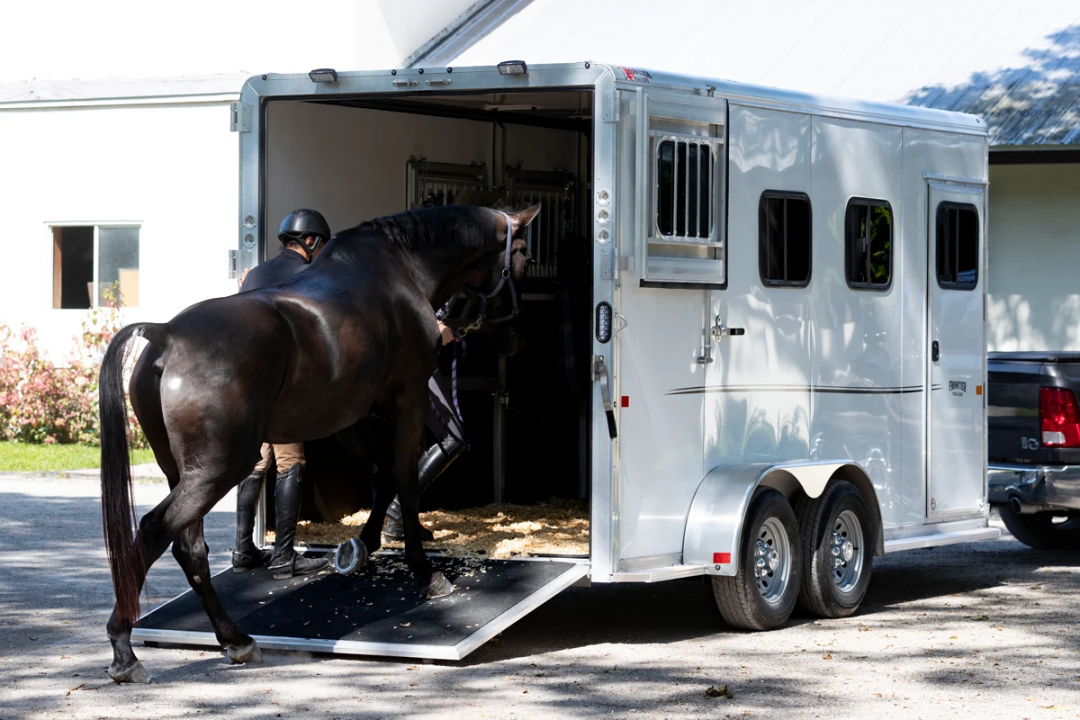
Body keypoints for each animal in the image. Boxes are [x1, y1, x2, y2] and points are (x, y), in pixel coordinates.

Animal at [98, 204, 539, 683]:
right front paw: (425, 573)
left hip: (182, 472)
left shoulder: (354, 419)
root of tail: (166, 334)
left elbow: (382, 480)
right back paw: (125, 650)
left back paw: (236, 640)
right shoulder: (408, 404)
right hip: (214, 471)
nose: (514, 341)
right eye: (526, 258)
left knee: (189, 549)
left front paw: (363, 545)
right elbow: (404, 482)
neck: (401, 271)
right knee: (153, 531)